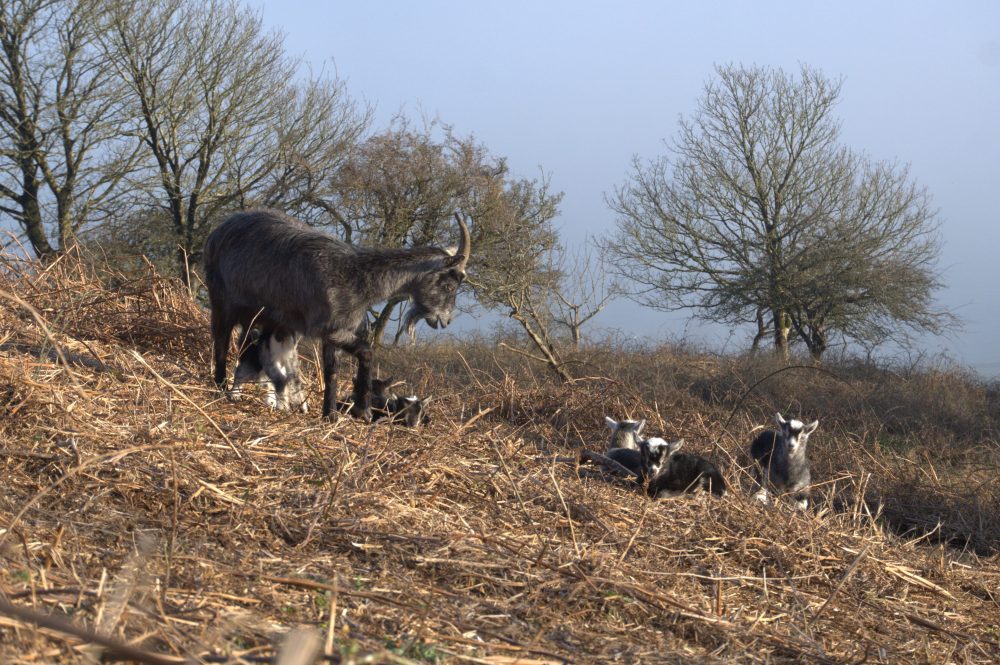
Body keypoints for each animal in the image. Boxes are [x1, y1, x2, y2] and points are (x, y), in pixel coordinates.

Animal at [203, 209, 470, 420]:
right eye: (449, 284)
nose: (446, 320)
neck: (357, 277)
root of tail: (219, 230)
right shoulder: (330, 329)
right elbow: (366, 351)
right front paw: (362, 409)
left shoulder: (334, 333)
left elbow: (331, 371)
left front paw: (329, 415)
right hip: (222, 301)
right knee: (221, 340)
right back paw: (219, 386)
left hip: (258, 319)